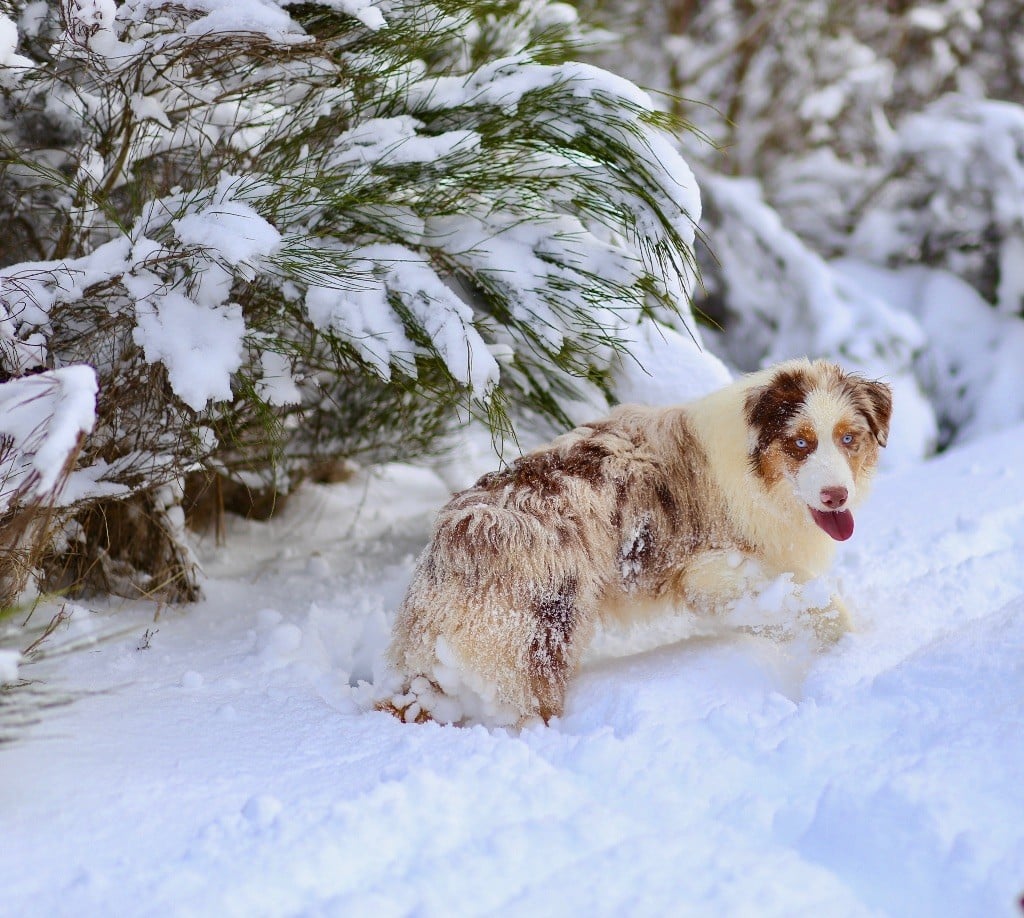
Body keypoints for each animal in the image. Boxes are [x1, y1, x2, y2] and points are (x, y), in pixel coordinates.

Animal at [380, 358, 892, 725]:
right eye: (800, 443)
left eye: (849, 438)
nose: (836, 495)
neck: (759, 476)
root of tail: (455, 537)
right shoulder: (710, 571)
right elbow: (809, 605)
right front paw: (850, 653)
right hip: (540, 641)